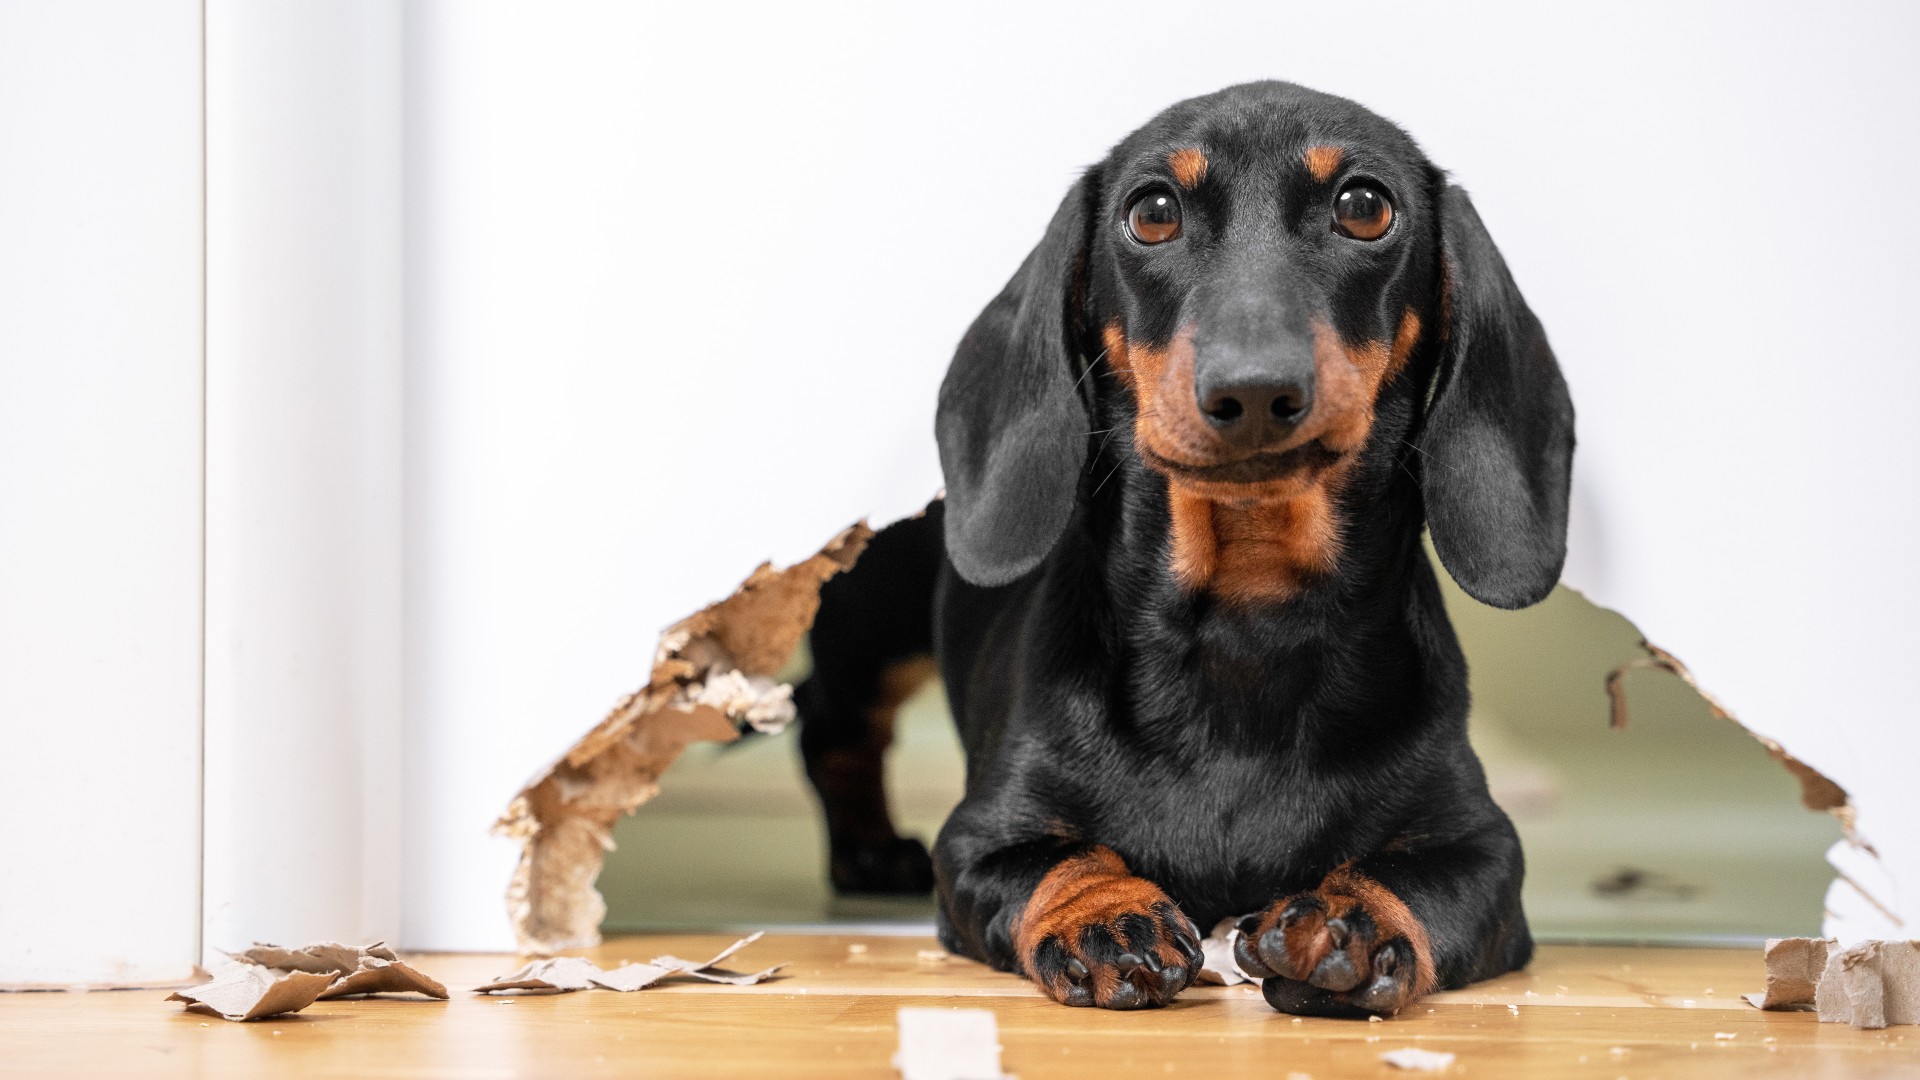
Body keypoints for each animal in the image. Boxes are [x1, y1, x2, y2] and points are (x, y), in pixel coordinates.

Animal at [794, 79, 1574, 1014]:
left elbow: (1419, 880)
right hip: (871, 627)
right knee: (829, 722)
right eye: (1153, 212)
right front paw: (1105, 915)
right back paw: (870, 850)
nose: (1254, 390)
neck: (1248, 619)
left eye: (1364, 206)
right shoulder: (982, 837)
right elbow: (1060, 857)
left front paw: (1346, 920)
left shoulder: (1484, 849)